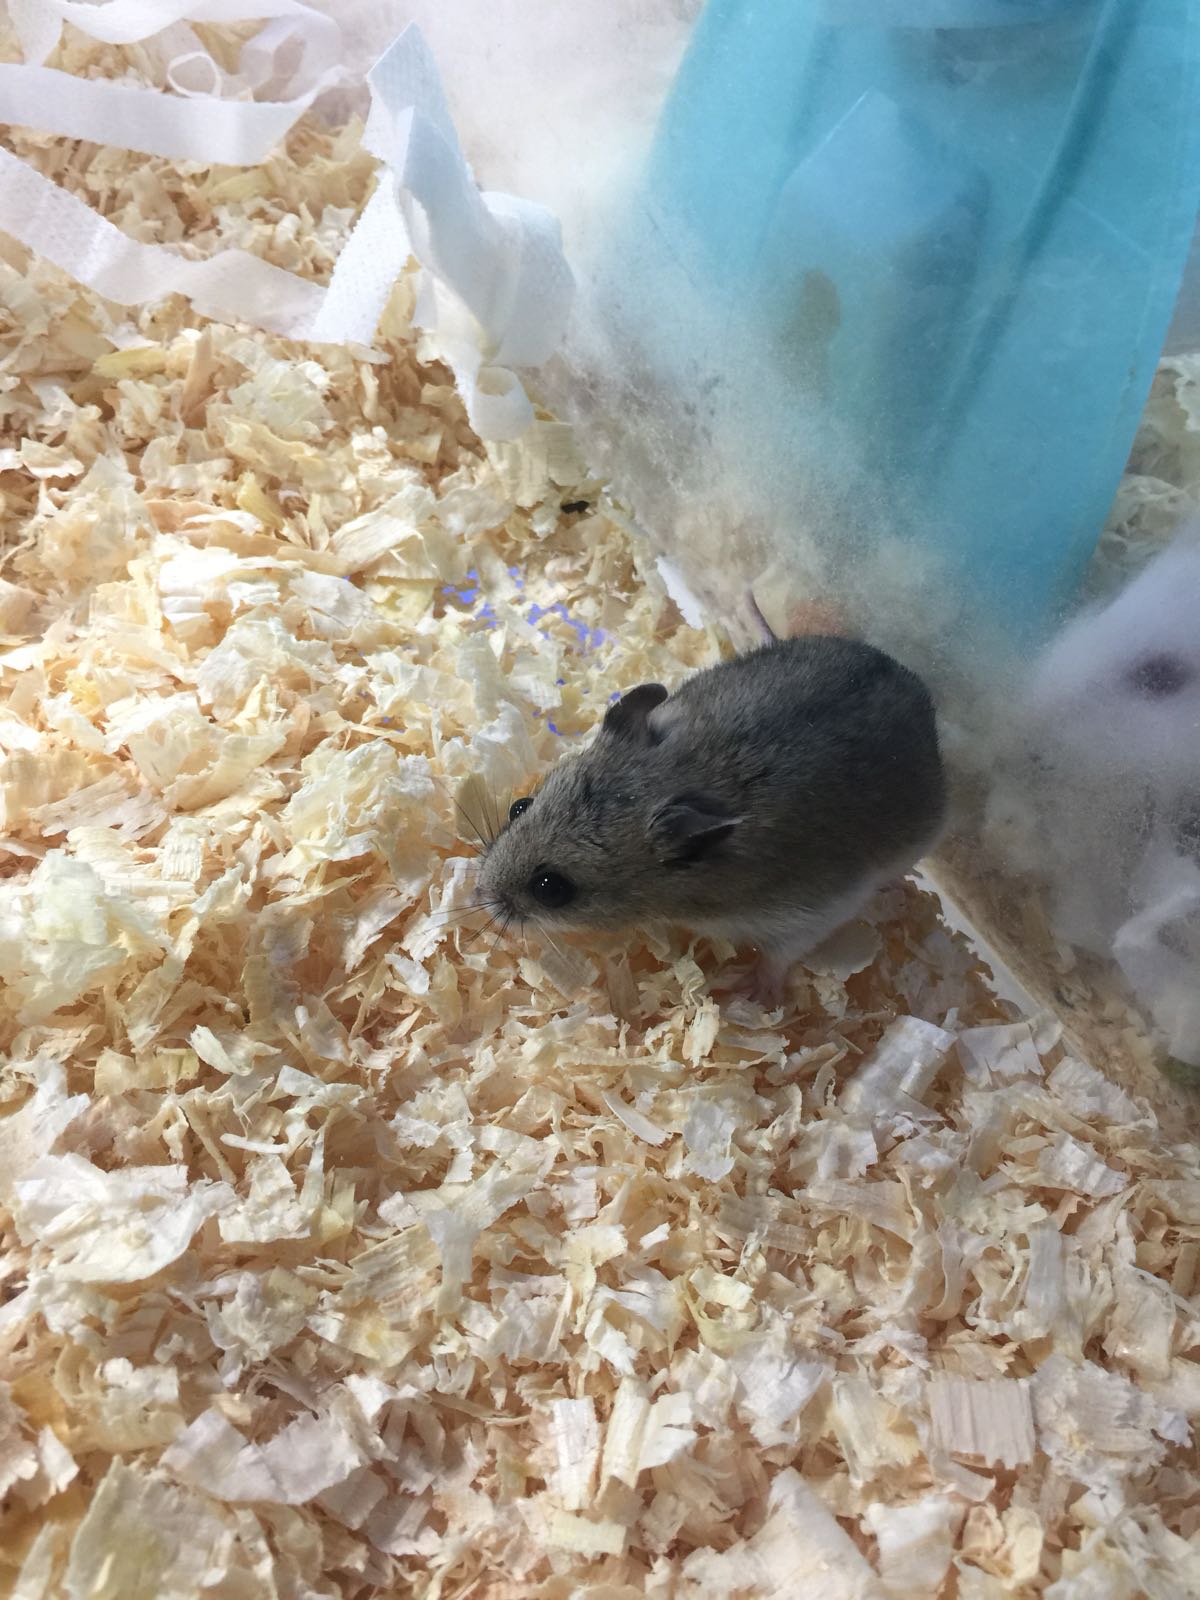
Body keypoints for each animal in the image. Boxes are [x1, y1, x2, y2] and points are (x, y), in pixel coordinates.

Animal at [475, 634, 946, 1003]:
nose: (481, 897)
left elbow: (779, 956)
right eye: (519, 807)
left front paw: (748, 992)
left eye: (551, 888)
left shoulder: (811, 912)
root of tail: (917, 687)